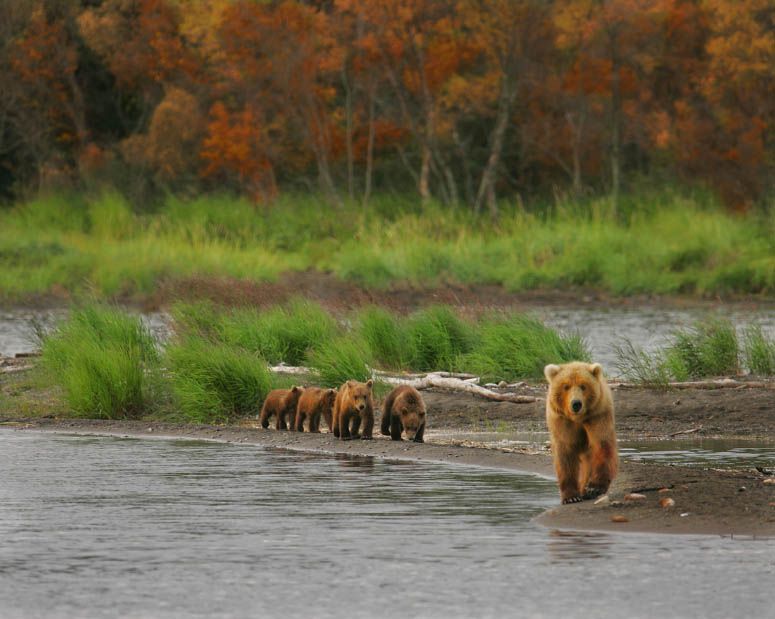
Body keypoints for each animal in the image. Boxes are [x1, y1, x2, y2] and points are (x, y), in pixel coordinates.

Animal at [544, 362, 618, 504]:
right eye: (566, 386)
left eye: (583, 386)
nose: (576, 404)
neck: (578, 419)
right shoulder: (563, 422)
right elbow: (566, 454)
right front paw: (571, 497)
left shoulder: (597, 416)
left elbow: (602, 445)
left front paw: (594, 488)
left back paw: (586, 490)